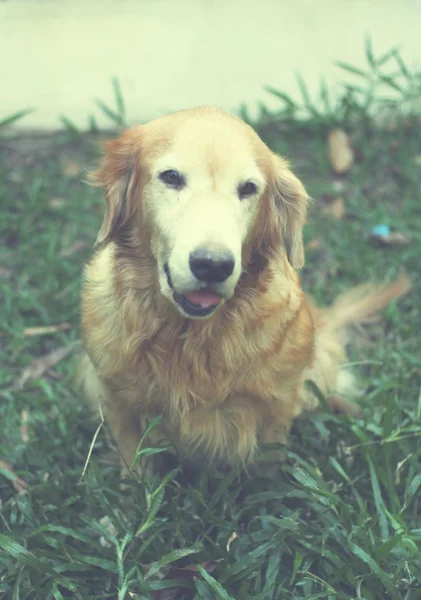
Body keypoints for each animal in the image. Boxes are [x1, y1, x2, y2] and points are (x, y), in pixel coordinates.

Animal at [76, 106, 410, 474]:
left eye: (248, 188)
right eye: (171, 177)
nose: (212, 265)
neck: (188, 339)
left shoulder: (277, 403)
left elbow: (267, 465)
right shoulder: (117, 396)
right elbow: (134, 458)